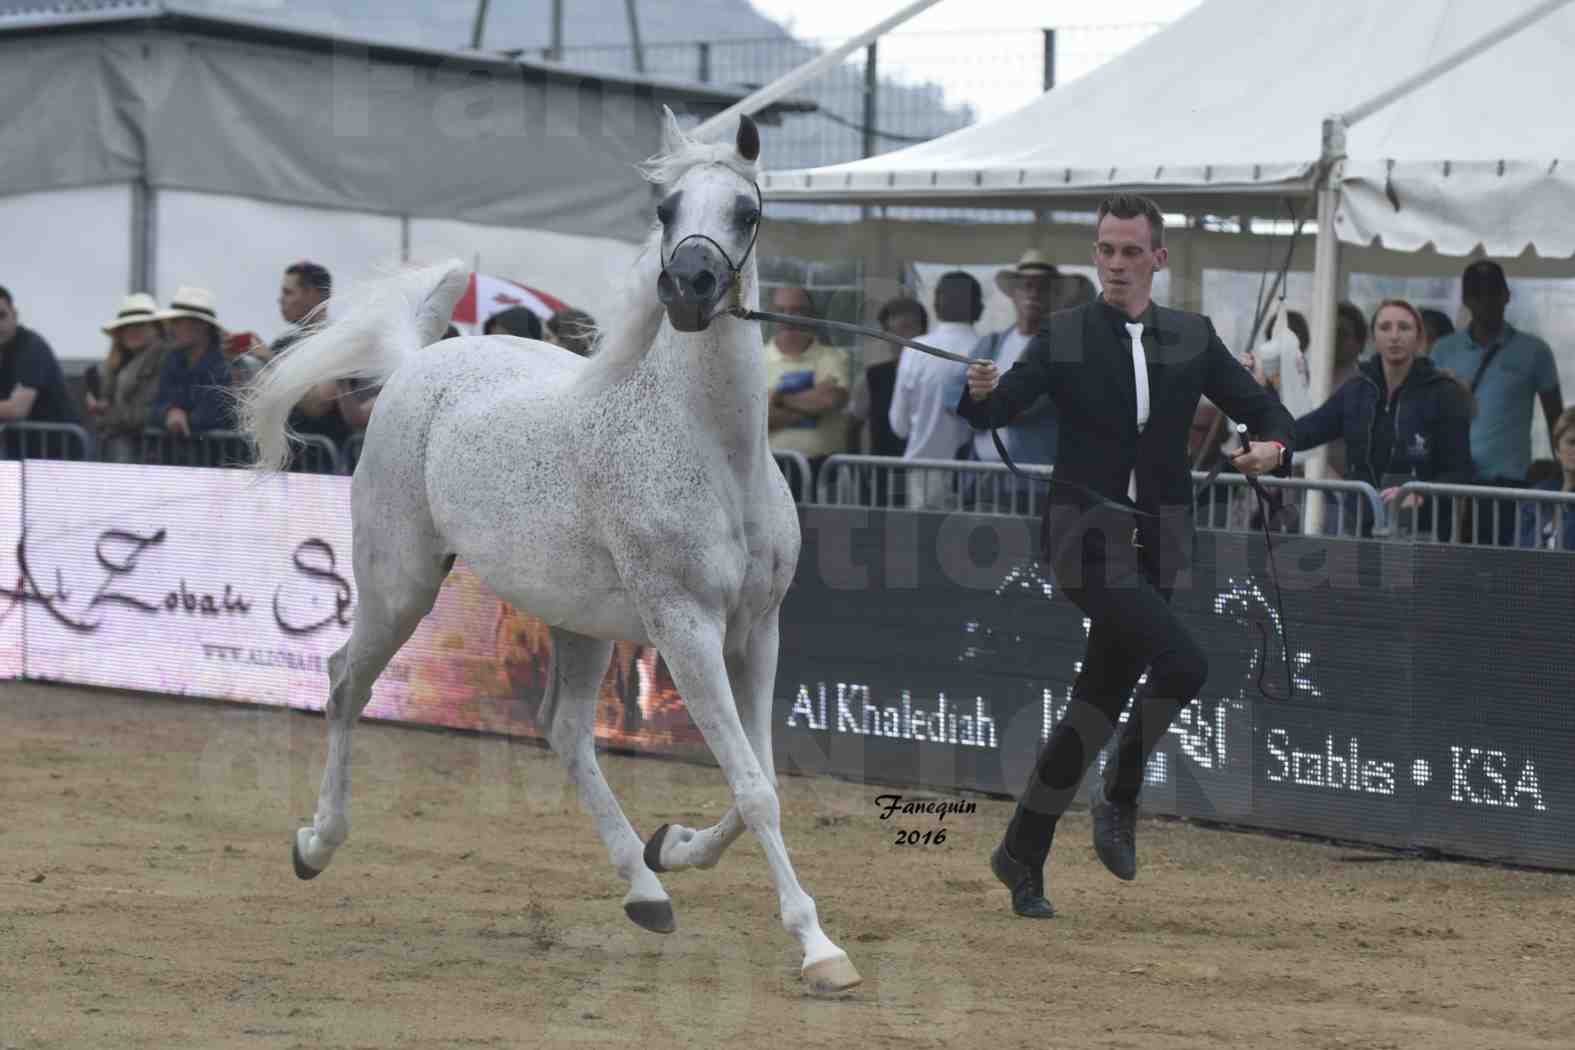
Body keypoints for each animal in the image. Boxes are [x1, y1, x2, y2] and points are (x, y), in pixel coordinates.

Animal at [239, 110, 863, 1001]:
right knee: (342, 684)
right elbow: (753, 788)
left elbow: (763, 784)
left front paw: (677, 846)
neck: (718, 454)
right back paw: (315, 844)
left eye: (747, 211)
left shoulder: (757, 630)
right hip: (399, 585)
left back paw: (646, 889)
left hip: (580, 623)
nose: (689, 287)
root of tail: (418, 362)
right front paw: (818, 948)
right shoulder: (687, 630)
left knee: (562, 732)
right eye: (666, 208)